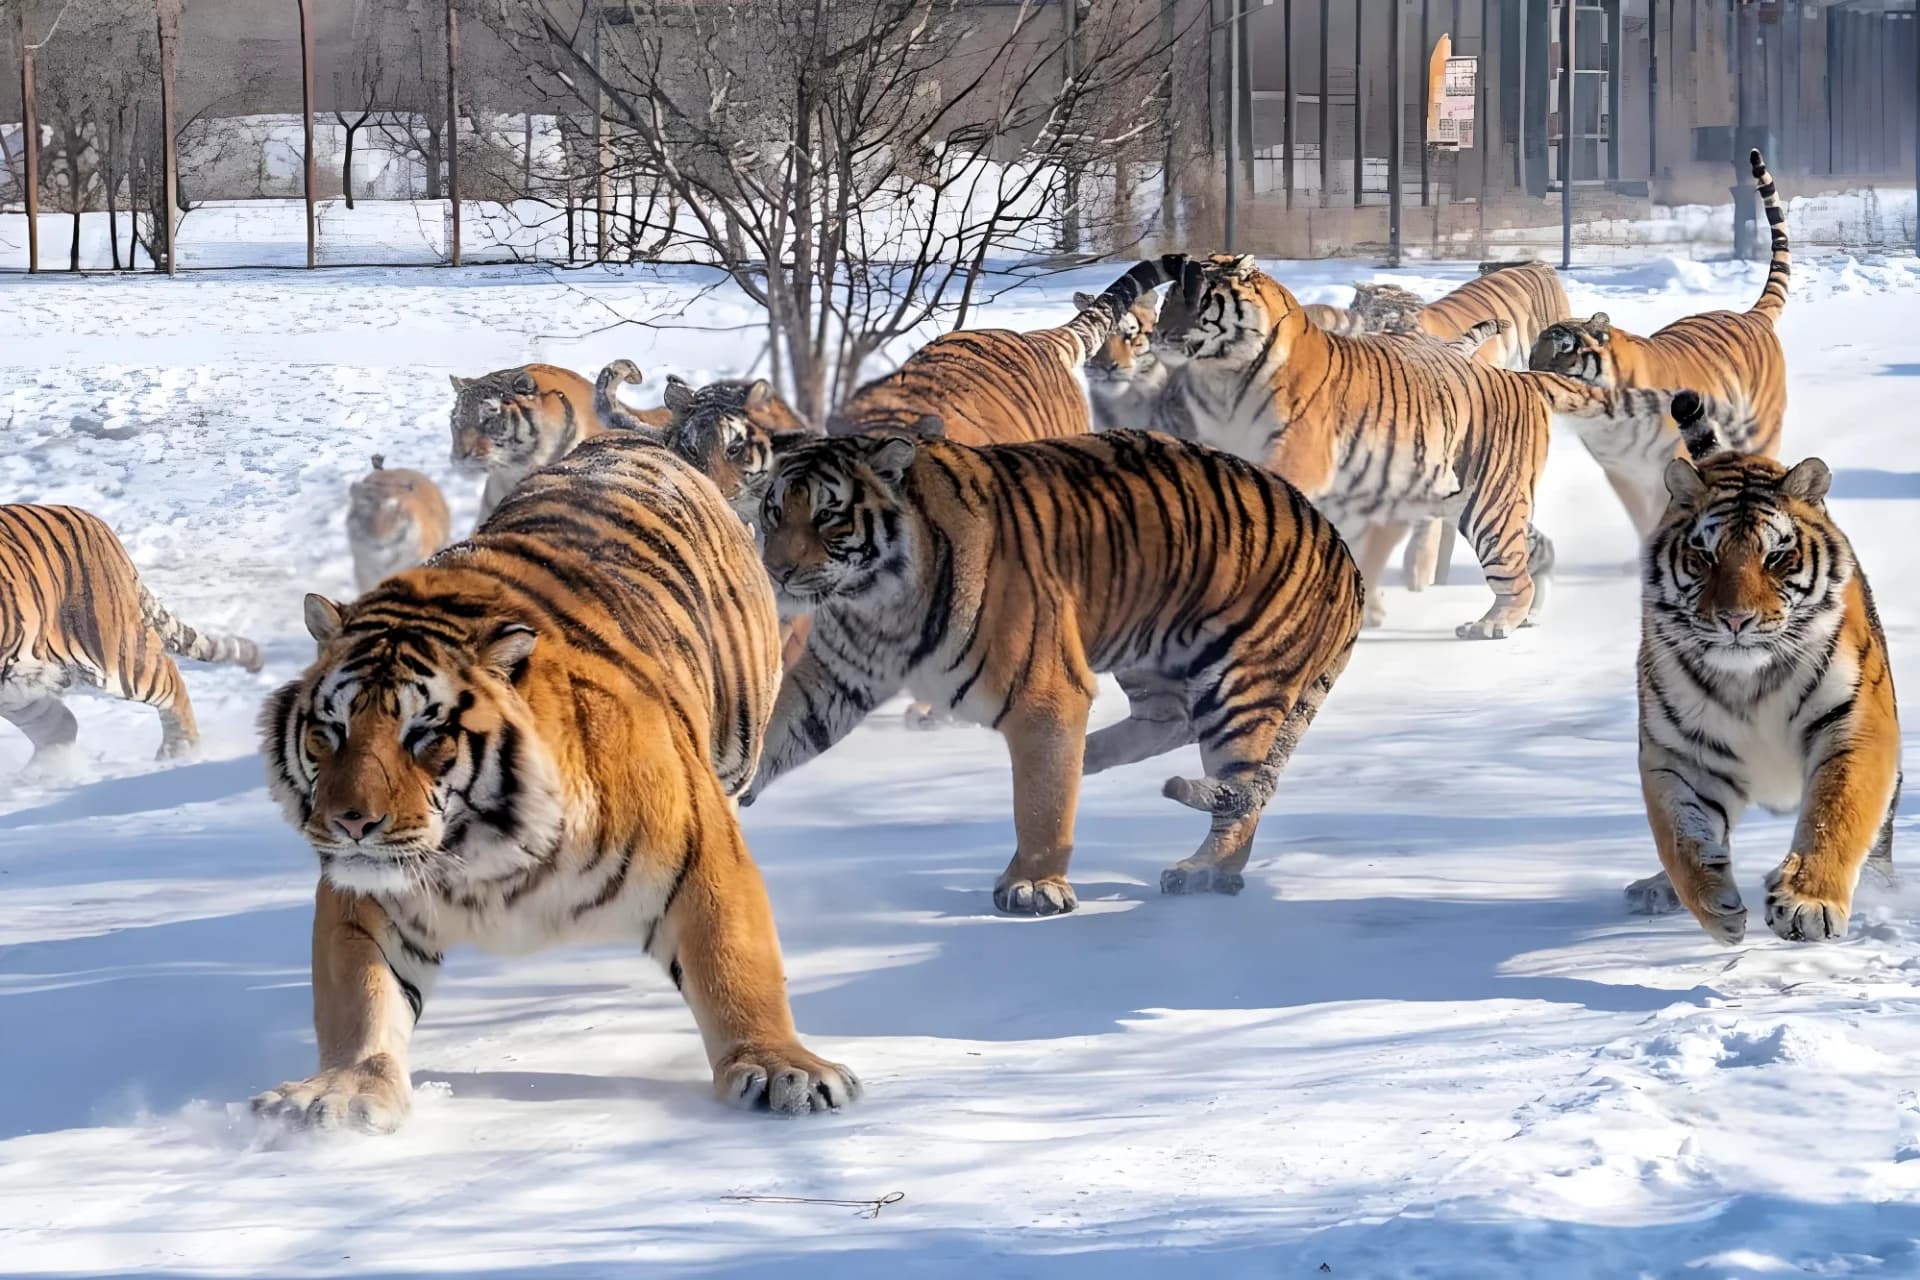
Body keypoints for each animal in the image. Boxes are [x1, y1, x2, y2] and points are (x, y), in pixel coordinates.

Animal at [1, 504, 261, 767]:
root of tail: (94, 521)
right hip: (16, 688)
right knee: (61, 725)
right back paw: (43, 773)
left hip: (114, 655)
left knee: (170, 679)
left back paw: (179, 751)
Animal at [740, 429, 1364, 915]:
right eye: (774, 511)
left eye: (828, 515)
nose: (776, 570)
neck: (879, 603)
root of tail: (1342, 548)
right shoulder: (834, 677)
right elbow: (778, 732)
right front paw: (732, 787)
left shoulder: (1046, 692)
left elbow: (1041, 802)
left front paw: (1034, 887)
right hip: (1149, 651)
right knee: (1171, 723)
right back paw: (1092, 756)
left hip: (1241, 688)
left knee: (1239, 793)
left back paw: (1203, 872)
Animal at [1136, 252, 1721, 637]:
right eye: (1164, 301)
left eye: (1199, 300)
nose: (1160, 336)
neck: (1221, 376)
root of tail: (1521, 379)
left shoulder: (1298, 456)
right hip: (1475, 500)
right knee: (1535, 550)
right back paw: (1526, 615)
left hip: (1489, 504)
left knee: (1511, 571)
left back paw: (1493, 625)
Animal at [1530, 150, 1790, 540]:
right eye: (1533, 355)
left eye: (1564, 349)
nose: (1532, 374)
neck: (1607, 422)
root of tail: (1751, 316)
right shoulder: (1622, 473)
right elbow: (1643, 518)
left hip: (1759, 429)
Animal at [1626, 391, 1899, 945]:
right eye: (1704, 556)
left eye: (1776, 556)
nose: (1735, 619)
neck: (1750, 681)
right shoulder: (1678, 753)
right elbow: (1679, 835)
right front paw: (1717, 908)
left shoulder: (1856, 725)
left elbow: (1836, 816)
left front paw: (1808, 904)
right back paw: (1656, 890)